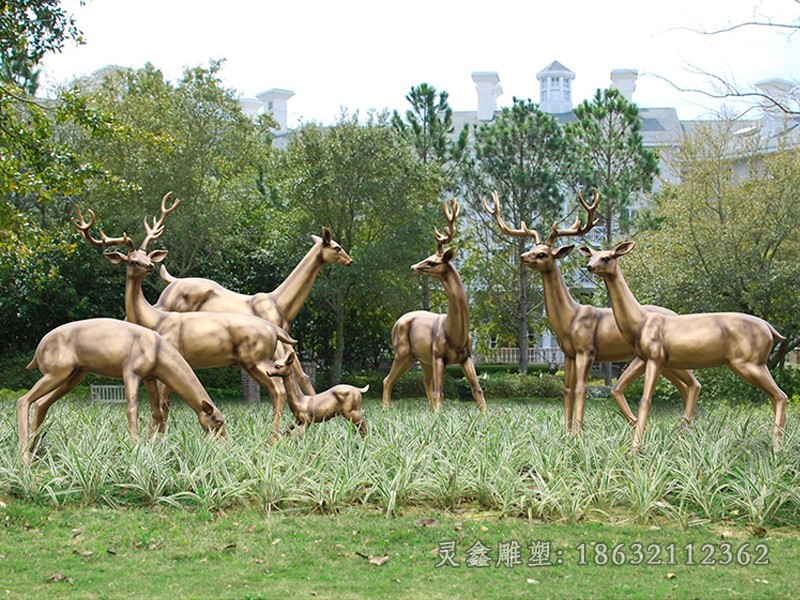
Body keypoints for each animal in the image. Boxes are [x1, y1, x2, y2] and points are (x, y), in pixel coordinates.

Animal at [18, 318, 225, 464]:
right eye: (217, 421)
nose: (225, 444)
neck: (158, 350)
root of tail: (38, 349)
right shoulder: (130, 372)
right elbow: (132, 408)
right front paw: (135, 452)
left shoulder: (149, 377)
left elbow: (157, 412)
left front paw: (154, 448)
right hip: (58, 372)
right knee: (24, 400)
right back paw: (24, 459)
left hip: (73, 376)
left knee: (41, 403)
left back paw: (34, 452)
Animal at [75, 195, 296, 434]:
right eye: (133, 260)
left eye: (146, 256)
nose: (150, 265)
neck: (153, 319)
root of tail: (275, 330)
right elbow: (162, 405)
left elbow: (162, 405)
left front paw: (156, 436)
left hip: (256, 358)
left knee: (278, 390)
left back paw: (273, 435)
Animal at [382, 200, 488, 412]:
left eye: (432, 261)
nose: (413, 267)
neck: (455, 333)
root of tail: (397, 322)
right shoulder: (439, 354)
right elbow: (440, 392)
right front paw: (439, 417)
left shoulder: (466, 357)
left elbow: (477, 389)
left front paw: (486, 415)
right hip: (403, 352)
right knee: (388, 380)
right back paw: (385, 409)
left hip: (423, 357)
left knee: (425, 382)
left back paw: (429, 411)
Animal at [482, 191, 700, 432]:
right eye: (532, 248)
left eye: (543, 254)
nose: (522, 256)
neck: (570, 318)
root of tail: (676, 314)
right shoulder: (568, 353)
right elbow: (567, 389)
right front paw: (567, 432)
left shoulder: (587, 350)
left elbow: (581, 387)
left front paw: (578, 432)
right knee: (685, 385)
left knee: (693, 383)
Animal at [580, 241, 788, 452]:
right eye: (592, 256)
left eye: (607, 257)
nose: (589, 267)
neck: (640, 322)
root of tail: (770, 329)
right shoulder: (643, 358)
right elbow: (616, 389)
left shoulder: (655, 358)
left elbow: (645, 400)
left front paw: (635, 450)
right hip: (748, 363)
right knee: (772, 396)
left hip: (748, 363)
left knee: (780, 396)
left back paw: (777, 448)